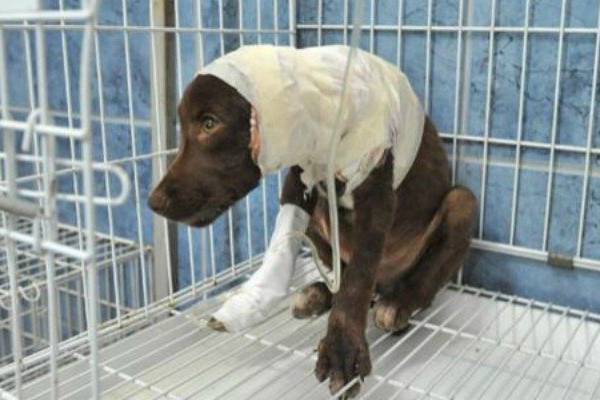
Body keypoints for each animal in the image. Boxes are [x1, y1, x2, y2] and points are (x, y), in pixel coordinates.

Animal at [149, 46, 477, 397]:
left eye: (210, 123)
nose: (153, 203)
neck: (320, 99)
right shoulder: (298, 181)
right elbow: (289, 248)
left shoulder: (376, 191)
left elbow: (358, 279)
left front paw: (343, 350)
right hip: (318, 219)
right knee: (340, 275)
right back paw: (318, 294)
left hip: (462, 205)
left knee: (415, 283)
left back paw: (398, 305)